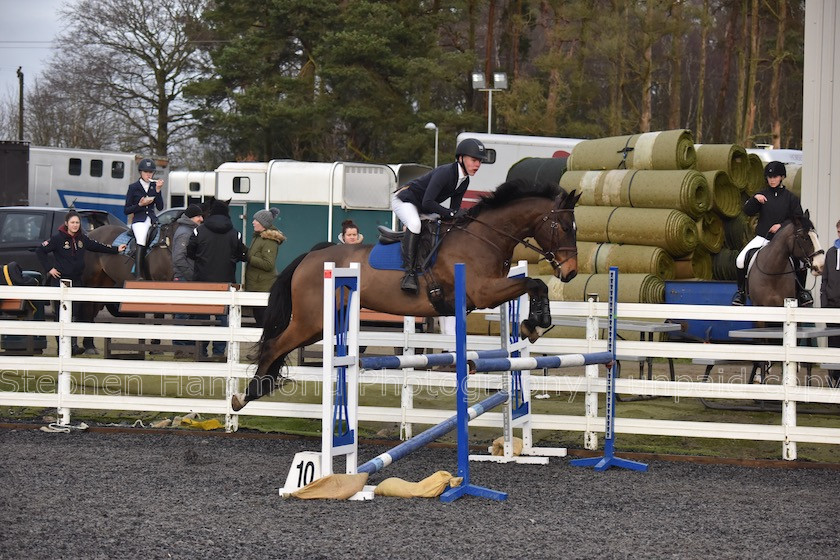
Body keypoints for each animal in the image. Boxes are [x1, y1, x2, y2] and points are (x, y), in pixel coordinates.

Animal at [233, 182, 580, 410]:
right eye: (564, 227)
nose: (571, 273)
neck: (484, 236)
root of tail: (310, 256)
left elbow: (535, 285)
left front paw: (533, 325)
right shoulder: (483, 292)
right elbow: (534, 283)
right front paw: (535, 322)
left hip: (320, 324)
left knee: (279, 347)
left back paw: (256, 391)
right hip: (310, 320)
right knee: (274, 346)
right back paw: (246, 396)